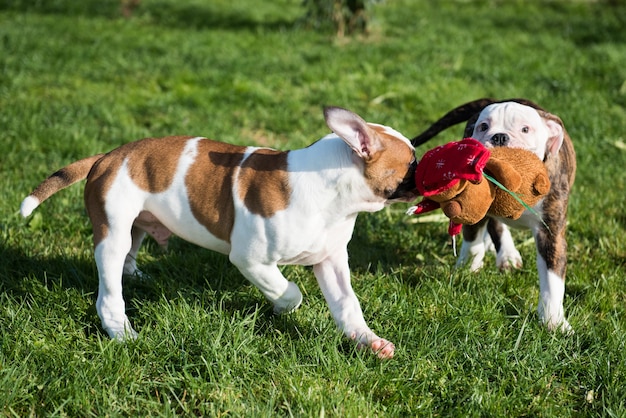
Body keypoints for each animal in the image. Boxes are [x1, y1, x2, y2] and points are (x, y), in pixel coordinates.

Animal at [22, 106, 416, 358]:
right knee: (109, 288)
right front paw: (280, 308)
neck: (332, 193)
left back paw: (137, 277)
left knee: (129, 256)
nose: (423, 161)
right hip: (112, 232)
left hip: (135, 226)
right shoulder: (250, 260)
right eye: (412, 161)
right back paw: (120, 330)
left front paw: (368, 340)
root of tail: (108, 156)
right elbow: (289, 291)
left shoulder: (331, 261)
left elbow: (347, 304)